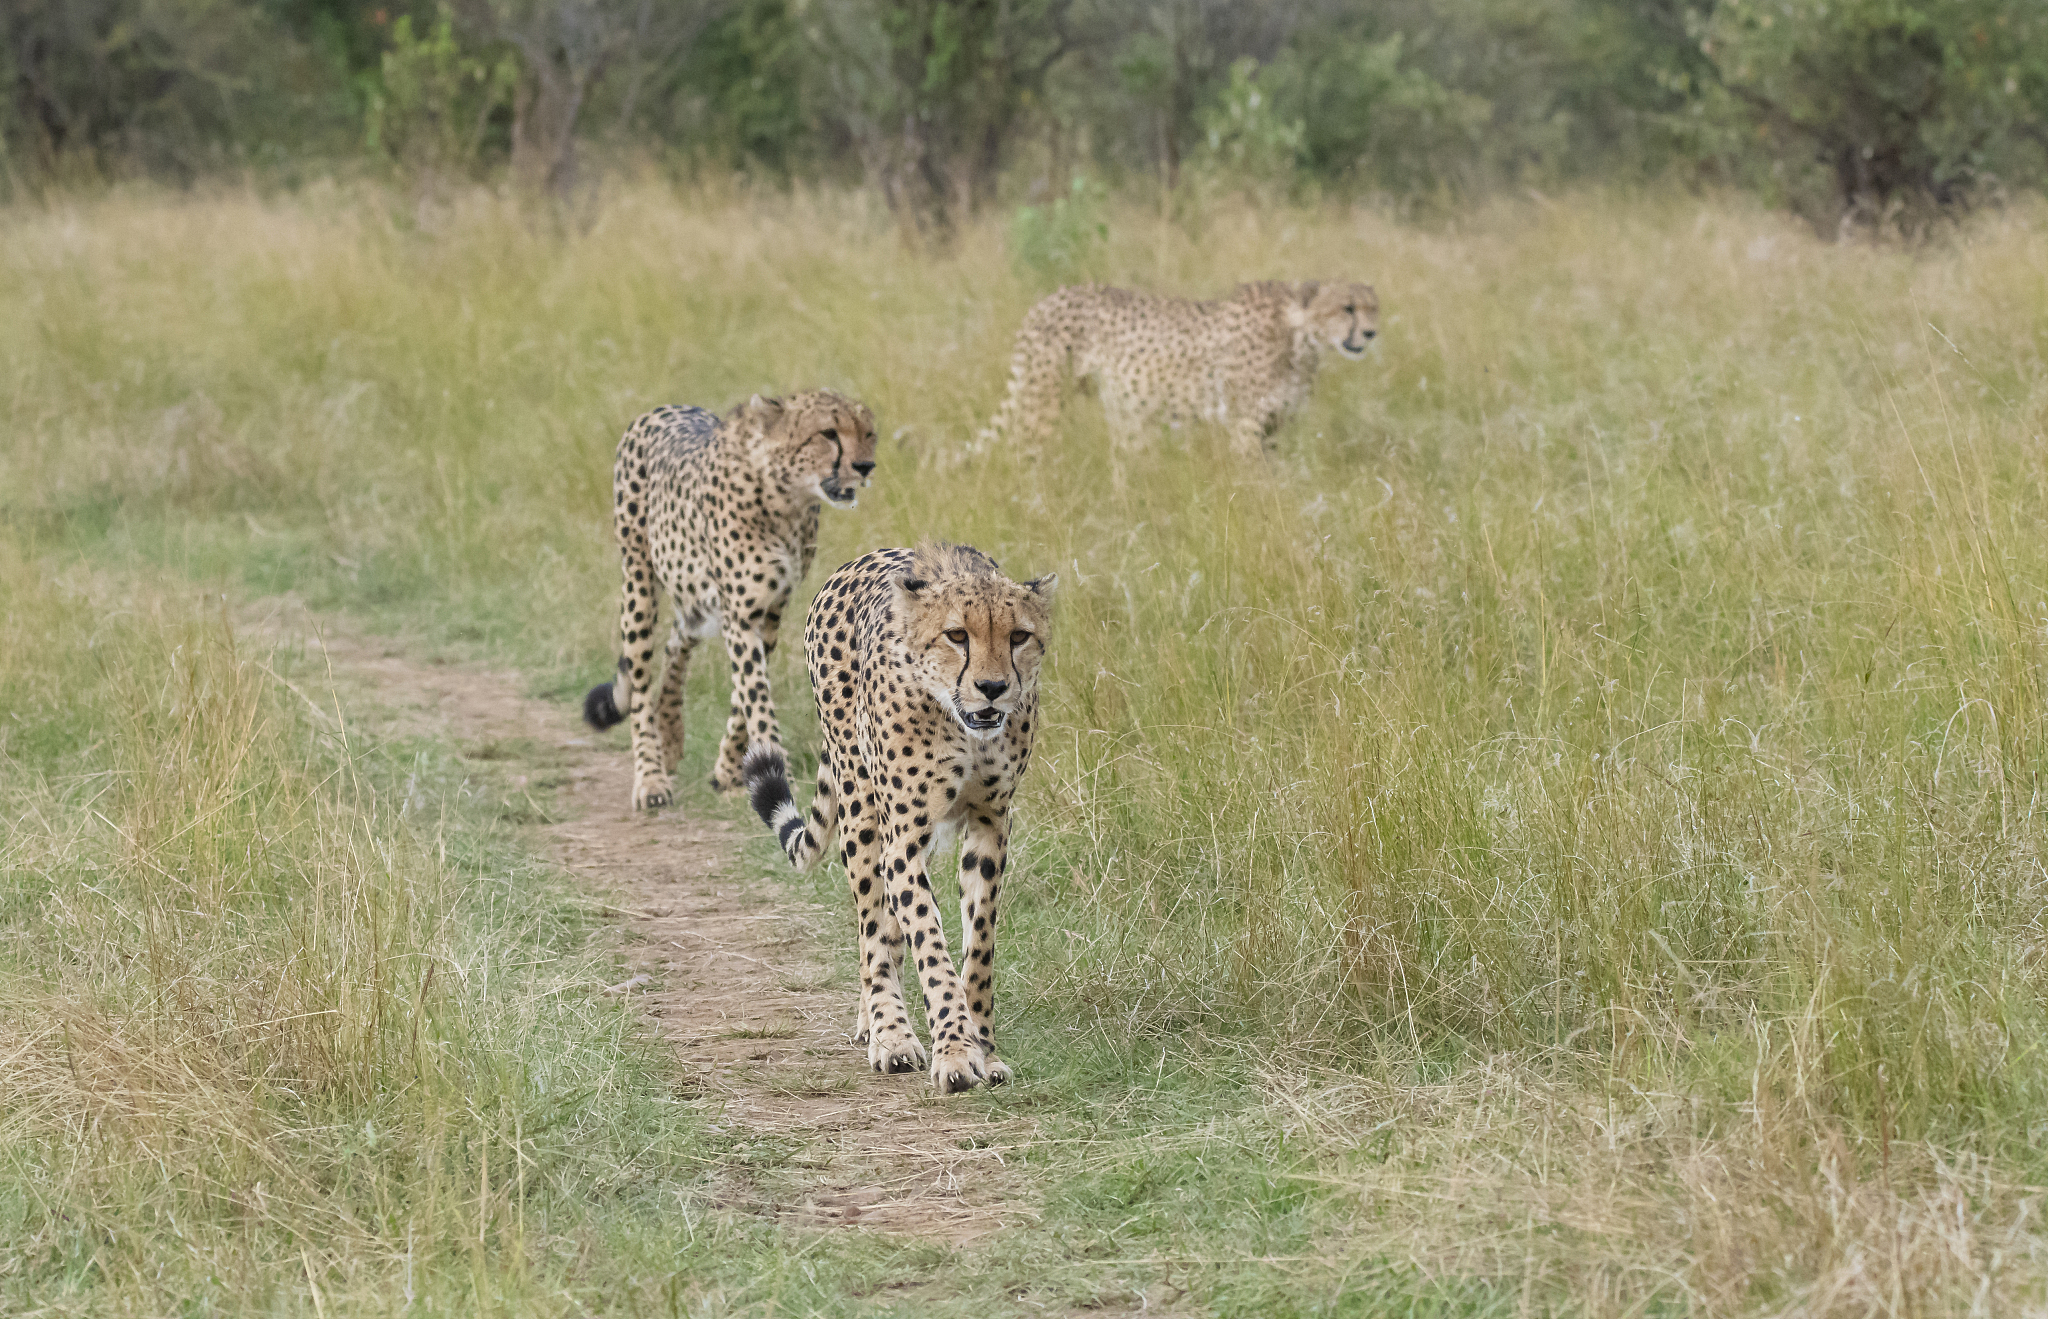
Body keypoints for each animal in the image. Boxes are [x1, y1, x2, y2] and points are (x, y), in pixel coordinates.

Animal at [581, 390, 879, 812]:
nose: (865, 465)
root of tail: (665, 408)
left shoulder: (769, 612)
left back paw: (670, 733)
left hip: (694, 598)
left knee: (677, 642)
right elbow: (756, 696)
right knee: (639, 681)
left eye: (868, 433)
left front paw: (728, 769)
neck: (786, 501)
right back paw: (651, 776)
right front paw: (778, 771)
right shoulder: (741, 613)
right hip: (638, 579)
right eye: (828, 433)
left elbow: (744, 697)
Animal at [742, 541, 1057, 1093]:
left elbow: (978, 949)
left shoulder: (991, 824)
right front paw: (954, 1052)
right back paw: (889, 1033)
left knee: (884, 929)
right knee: (873, 928)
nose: (993, 687)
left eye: (1019, 636)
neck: (964, 726)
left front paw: (984, 1048)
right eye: (957, 635)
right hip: (862, 812)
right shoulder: (904, 838)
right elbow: (930, 947)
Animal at [978, 279, 1378, 462]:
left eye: (1373, 308)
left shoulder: (1274, 427)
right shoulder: (1246, 426)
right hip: (1041, 402)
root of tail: (1048, 298)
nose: (1371, 333)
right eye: (1347, 308)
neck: (1300, 338)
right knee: (1022, 455)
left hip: (1127, 416)